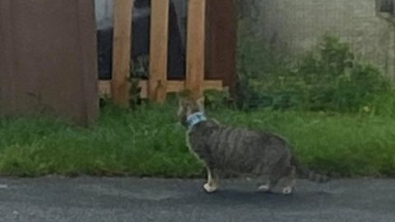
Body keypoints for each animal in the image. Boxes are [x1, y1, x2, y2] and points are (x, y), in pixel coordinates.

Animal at [178, 96, 330, 194]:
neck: (198, 121)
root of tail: (285, 141)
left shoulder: (211, 161)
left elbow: (212, 176)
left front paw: (211, 187)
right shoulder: (214, 163)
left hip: (272, 166)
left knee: (290, 171)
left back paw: (287, 188)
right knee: (276, 178)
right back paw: (267, 187)